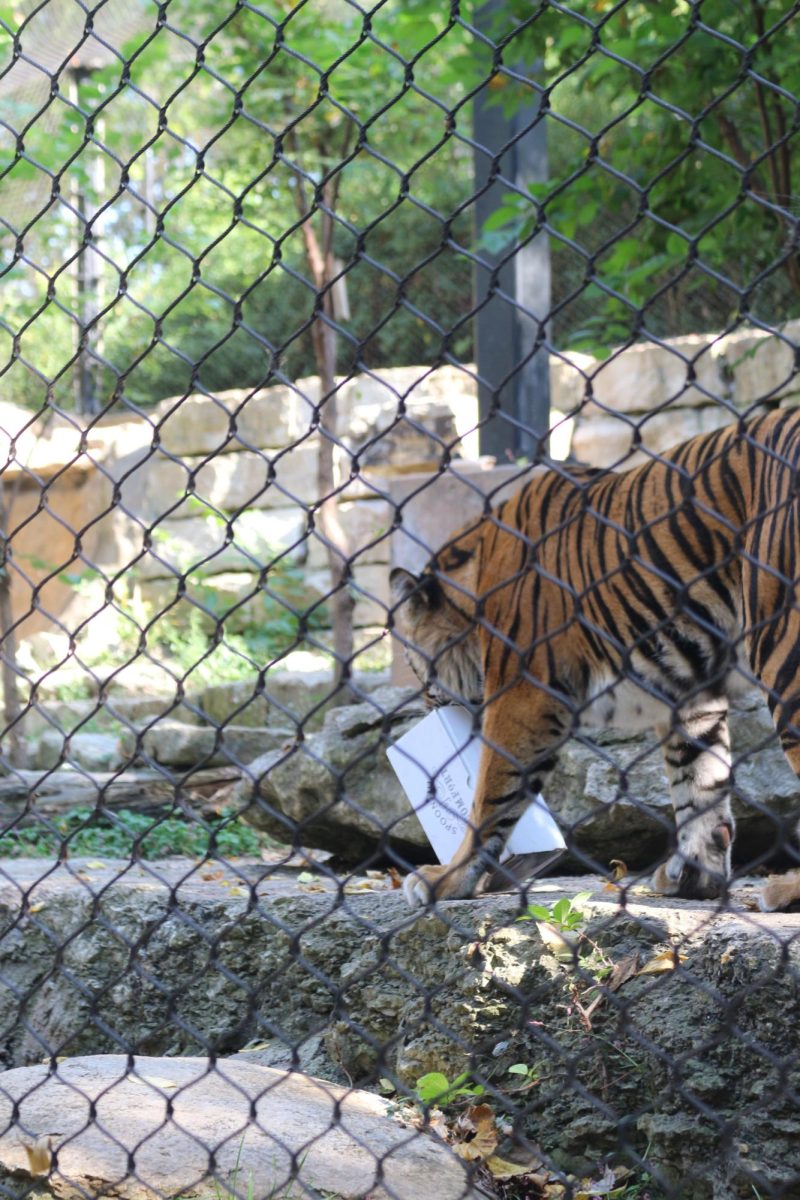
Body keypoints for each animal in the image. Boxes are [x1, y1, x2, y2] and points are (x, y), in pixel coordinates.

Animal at [393, 403, 800, 907]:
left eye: (413, 666)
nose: (424, 703)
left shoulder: (522, 693)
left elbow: (491, 793)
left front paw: (446, 879)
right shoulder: (691, 692)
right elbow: (697, 779)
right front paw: (692, 875)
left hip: (783, 652)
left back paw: (786, 890)